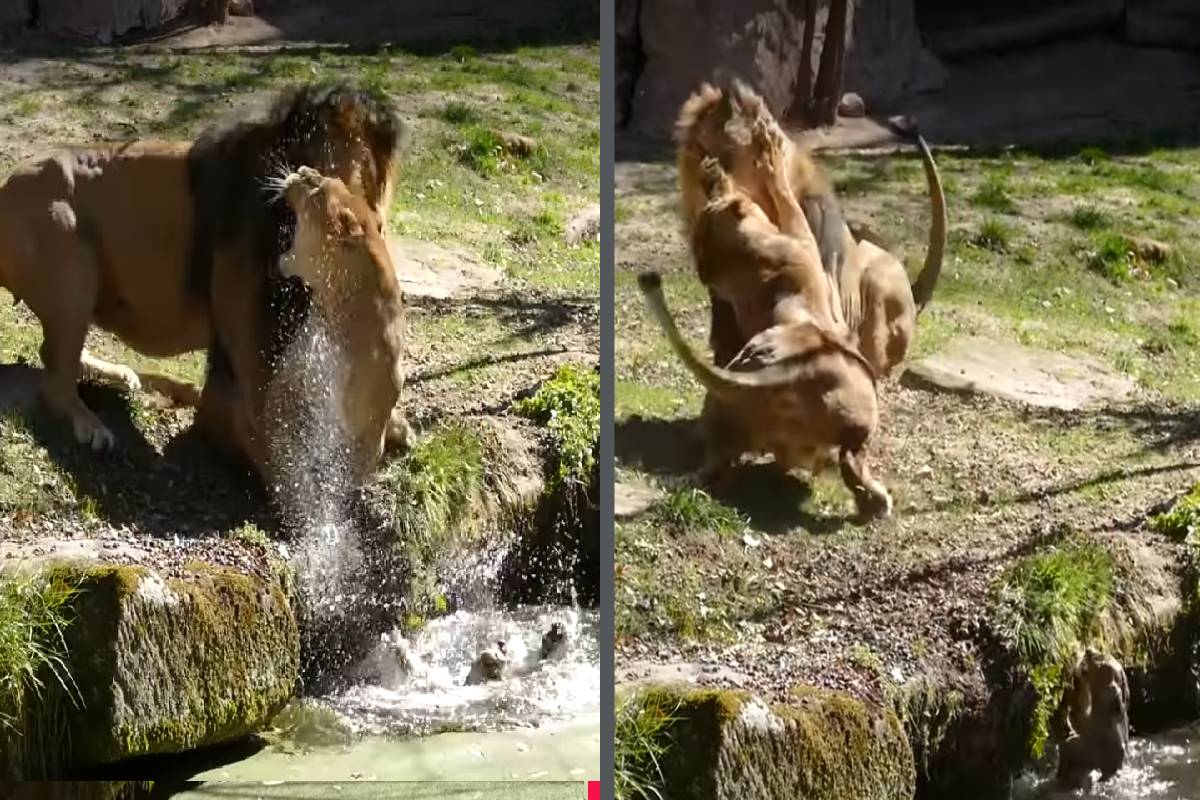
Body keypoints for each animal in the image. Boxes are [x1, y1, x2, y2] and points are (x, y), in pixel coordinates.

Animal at [0, 83, 410, 485]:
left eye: (375, 214)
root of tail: (6, 187)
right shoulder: (248, 384)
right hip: (70, 250)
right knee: (55, 380)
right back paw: (93, 425)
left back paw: (136, 378)